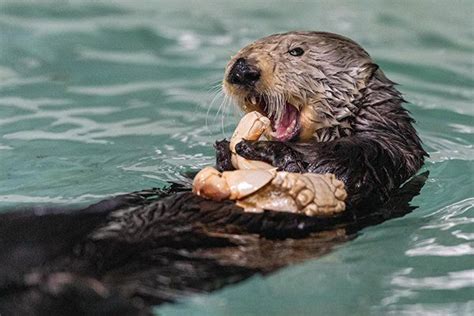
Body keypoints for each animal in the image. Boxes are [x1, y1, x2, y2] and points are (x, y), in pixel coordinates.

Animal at [0, 31, 428, 314]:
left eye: (297, 51)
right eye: (242, 50)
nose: (242, 68)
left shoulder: (385, 152)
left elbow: (336, 165)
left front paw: (260, 152)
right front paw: (224, 151)